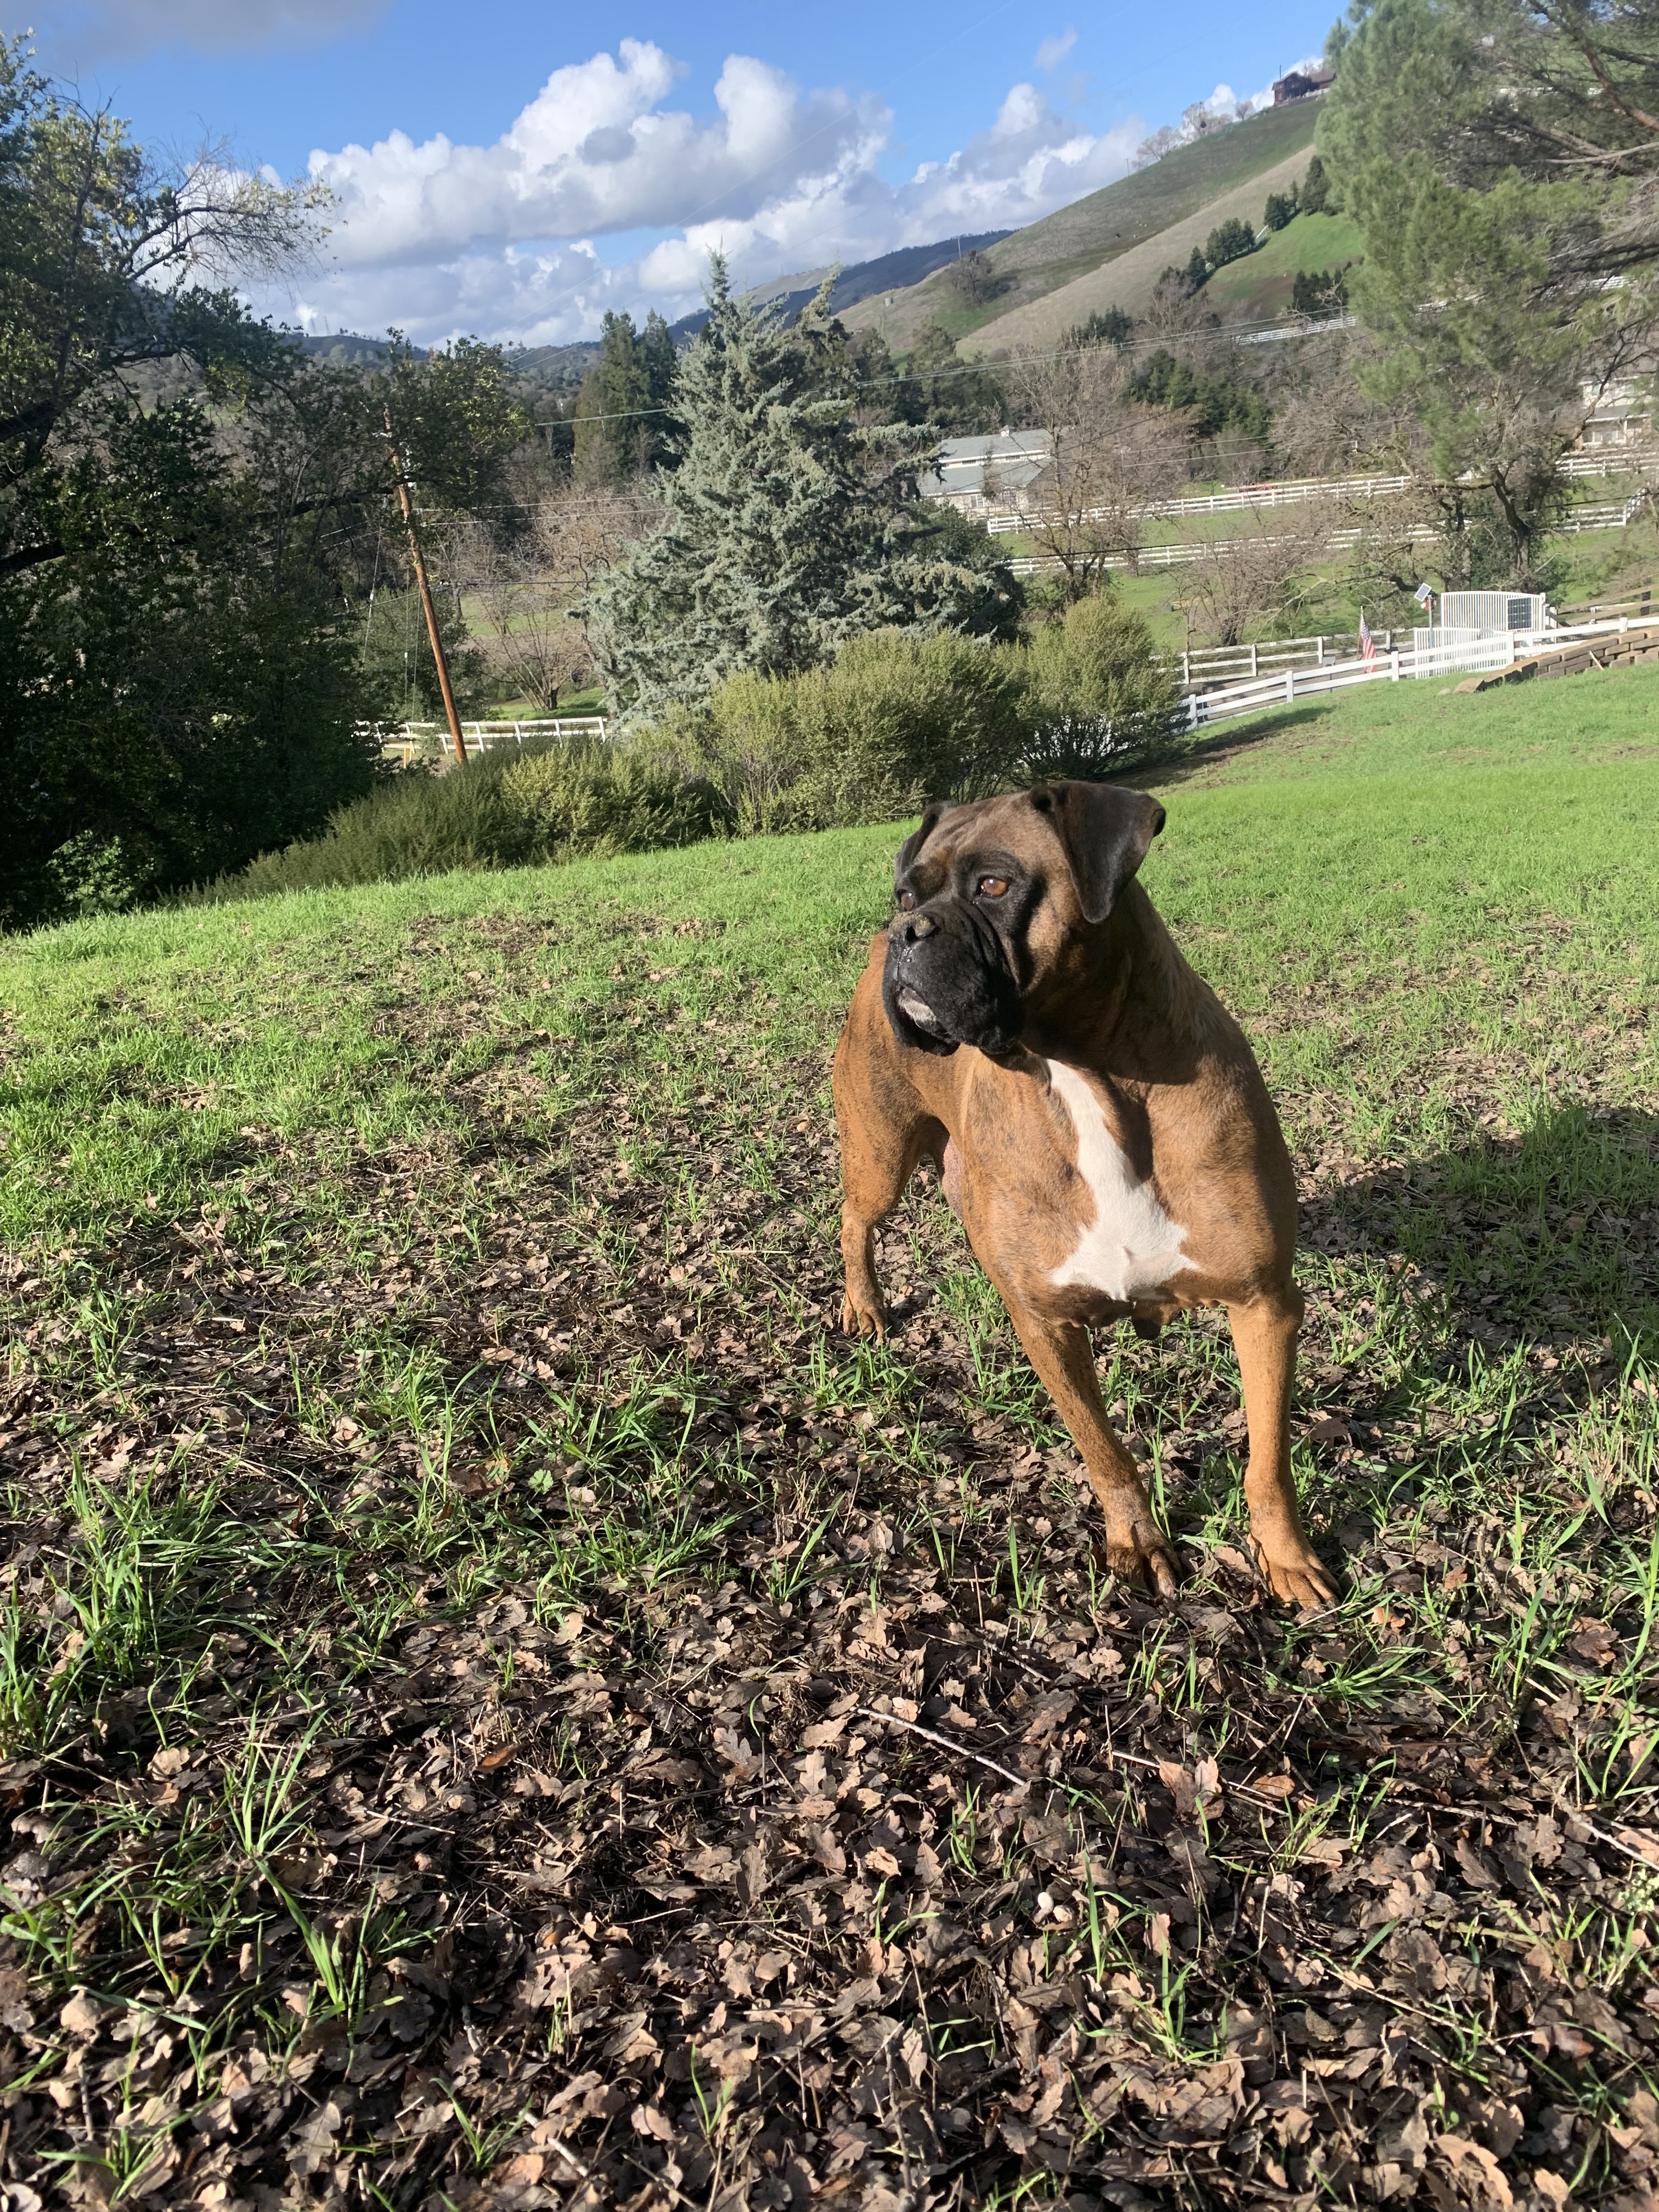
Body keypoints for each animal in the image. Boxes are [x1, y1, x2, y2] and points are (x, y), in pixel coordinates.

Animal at [831, 779, 1334, 1607]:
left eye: (993, 886)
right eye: (906, 892)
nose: (905, 929)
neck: (1083, 1076)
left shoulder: (1264, 1306)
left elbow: (1268, 1458)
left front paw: (1285, 1555)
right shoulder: (1048, 1327)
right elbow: (1104, 1451)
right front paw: (1137, 1539)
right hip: (879, 1158)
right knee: (853, 1222)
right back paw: (866, 1307)